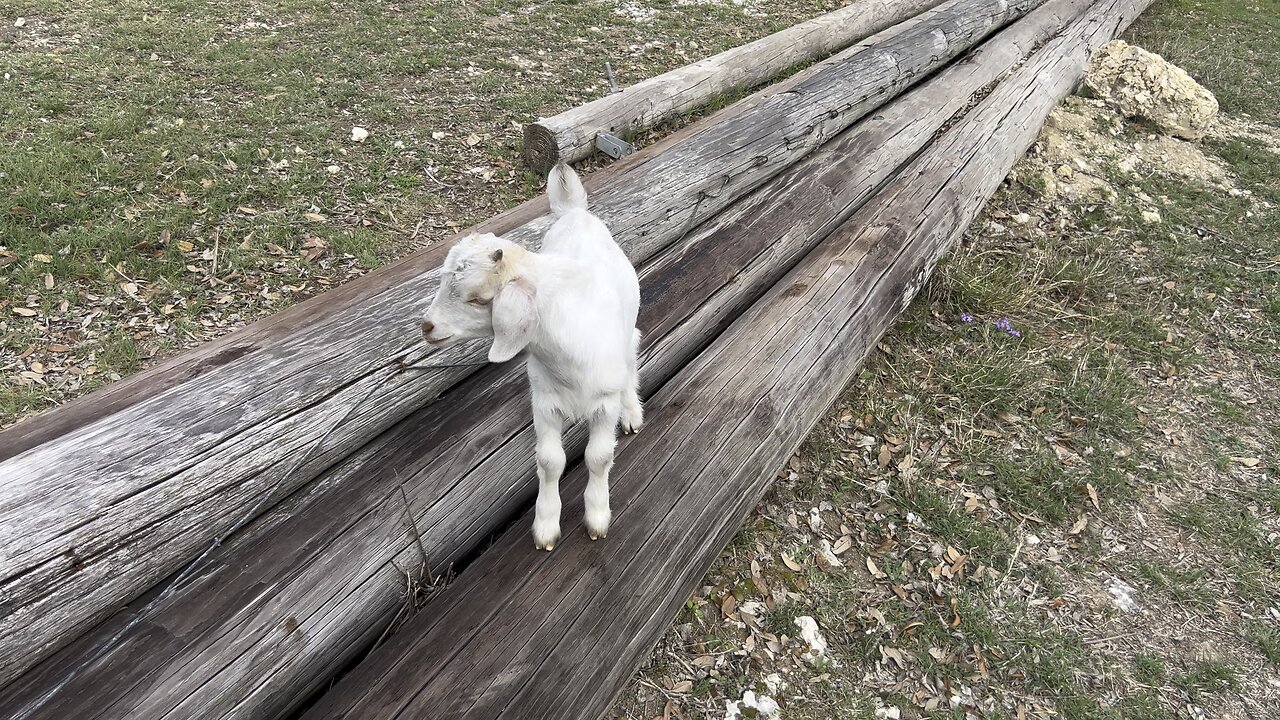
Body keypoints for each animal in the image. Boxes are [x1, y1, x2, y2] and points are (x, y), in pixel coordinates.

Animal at [420, 164, 642, 551]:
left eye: (478, 299)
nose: (427, 326)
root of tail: (574, 212)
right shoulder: (545, 401)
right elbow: (550, 460)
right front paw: (546, 527)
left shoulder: (604, 403)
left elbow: (598, 457)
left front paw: (597, 518)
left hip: (628, 339)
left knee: (632, 363)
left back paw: (632, 413)